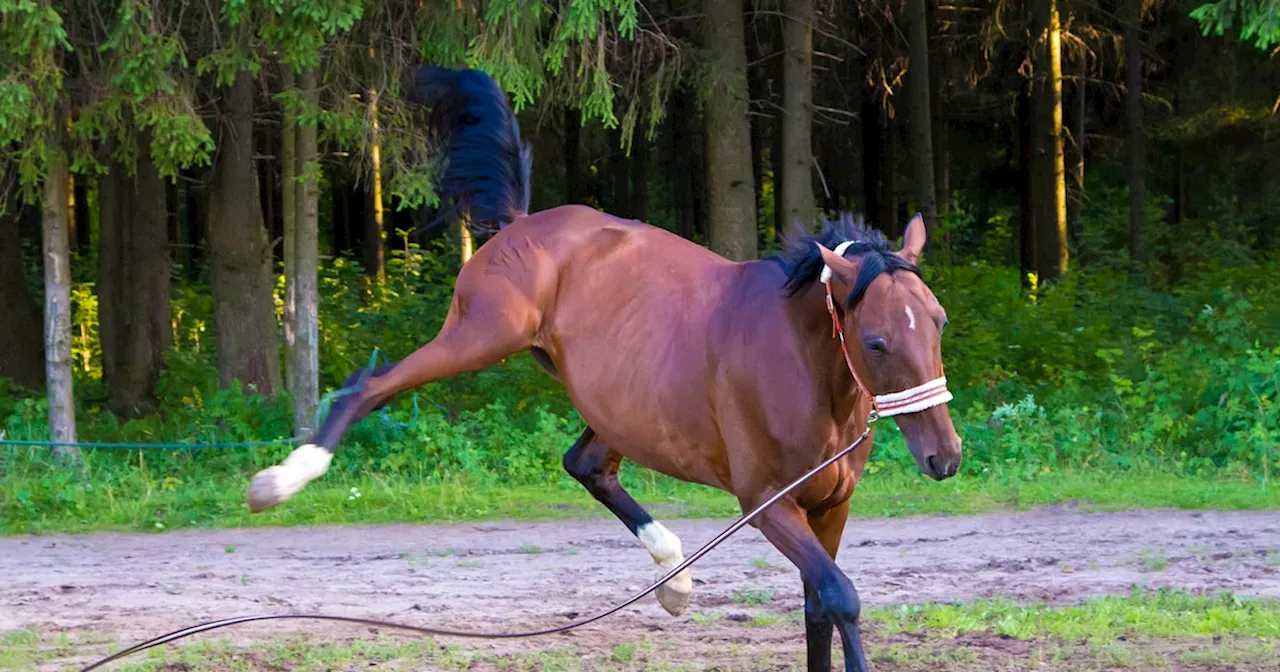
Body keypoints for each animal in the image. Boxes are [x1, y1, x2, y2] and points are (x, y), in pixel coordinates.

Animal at [247, 65, 962, 665]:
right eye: (876, 342)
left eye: (939, 322)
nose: (945, 458)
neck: (804, 370)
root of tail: (521, 222)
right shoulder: (767, 503)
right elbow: (840, 597)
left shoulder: (830, 505)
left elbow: (818, 611)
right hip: (481, 335)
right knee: (368, 387)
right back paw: (282, 480)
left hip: (615, 404)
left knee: (585, 463)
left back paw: (674, 575)